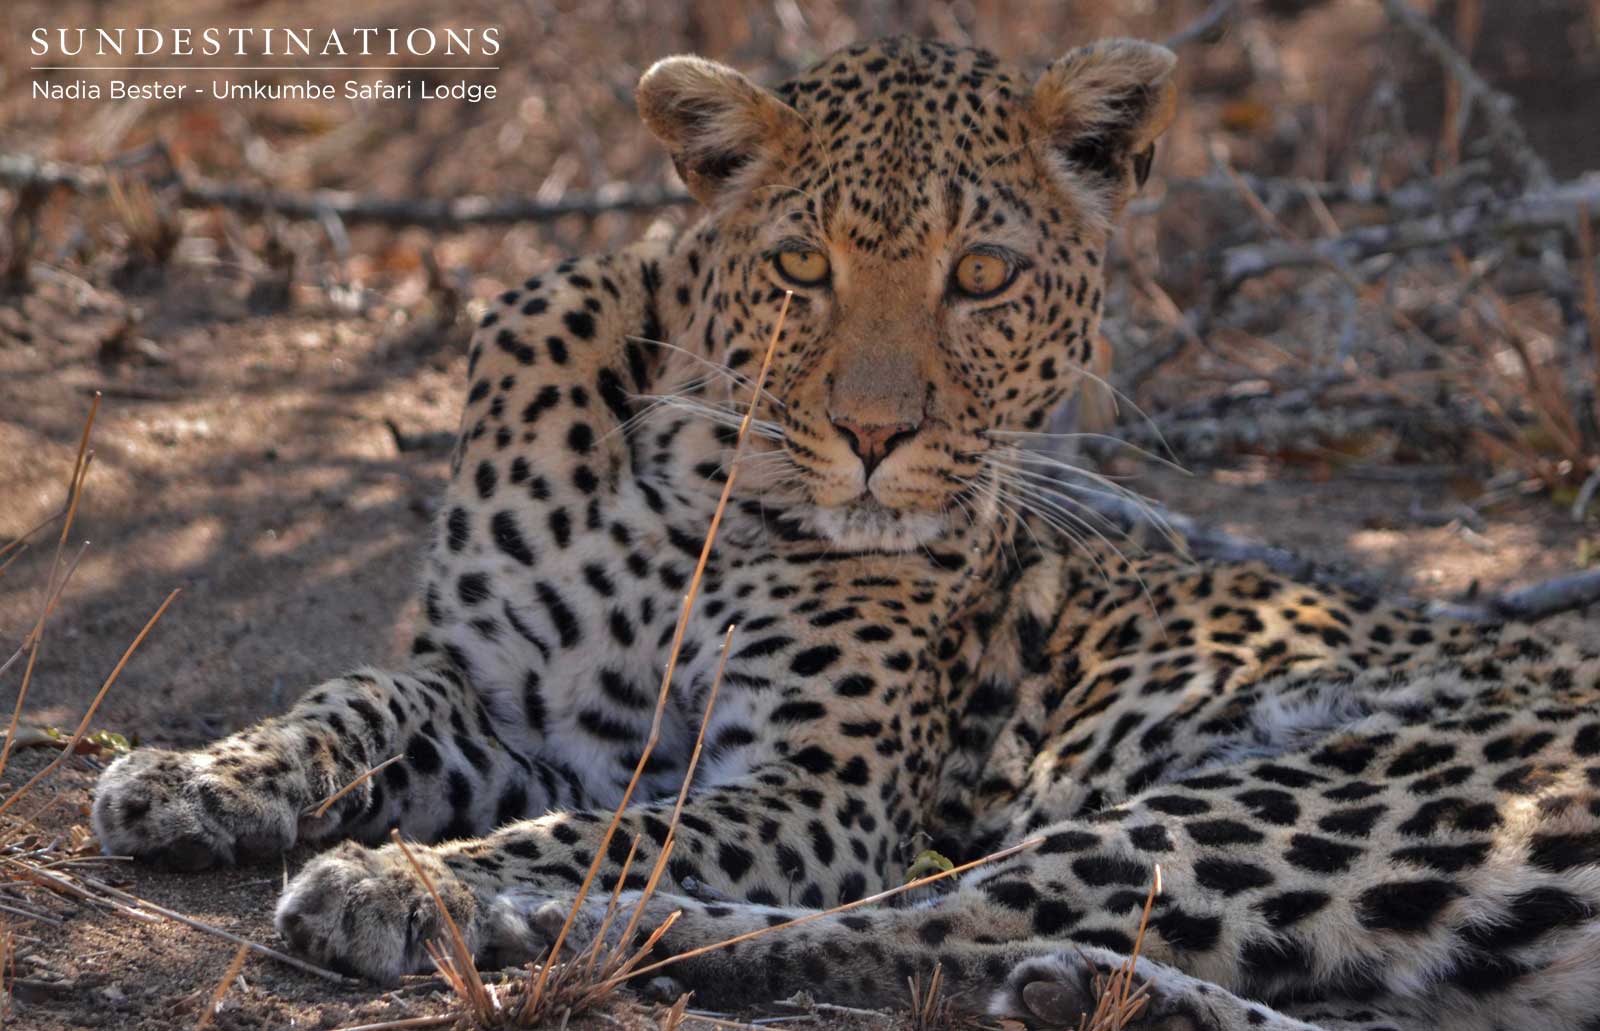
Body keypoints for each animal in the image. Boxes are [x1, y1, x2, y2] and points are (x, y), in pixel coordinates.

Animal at [91, 36, 1600, 1031]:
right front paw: (197, 774)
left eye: (980, 274)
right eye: (800, 267)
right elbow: (358, 694)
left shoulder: (823, 787)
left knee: (934, 913)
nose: (876, 432)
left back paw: (525, 921)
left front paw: (402, 875)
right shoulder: (502, 696)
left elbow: (613, 827)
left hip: (1318, 799)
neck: (690, 493)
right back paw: (1109, 997)